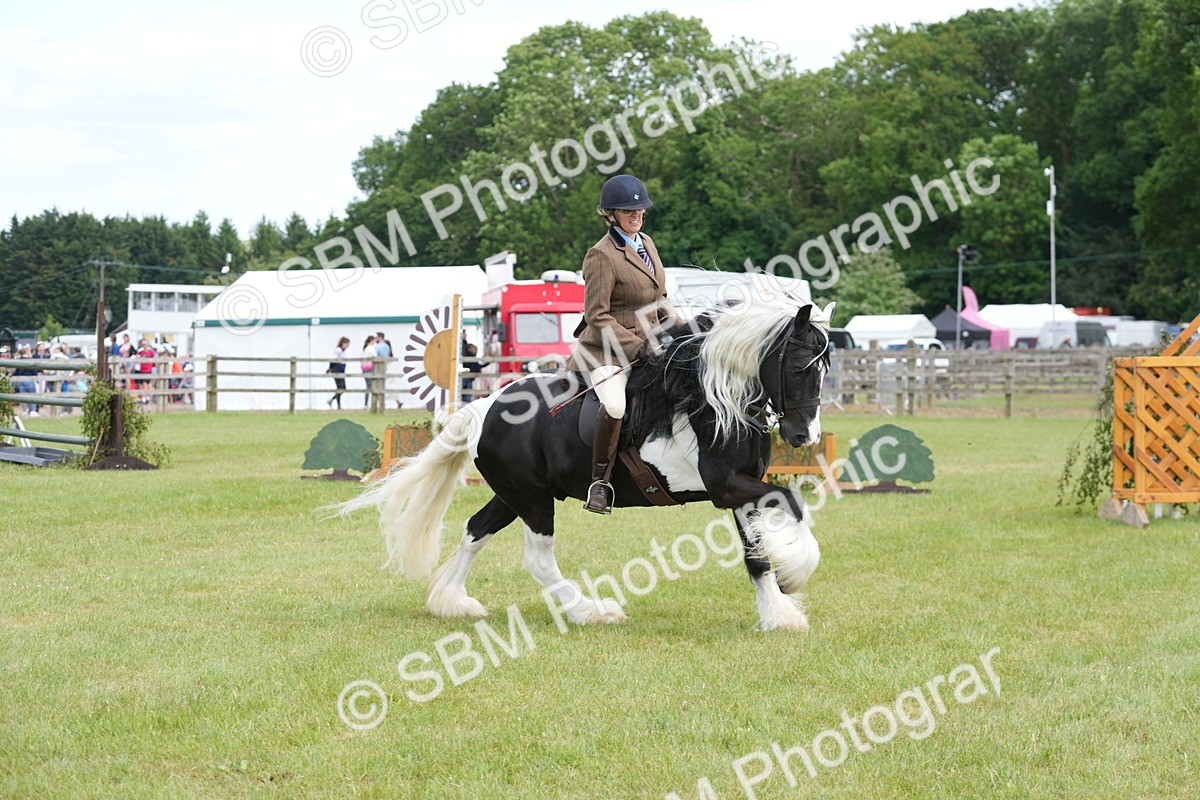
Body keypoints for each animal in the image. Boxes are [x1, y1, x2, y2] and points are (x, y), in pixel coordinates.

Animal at [334, 298, 833, 631]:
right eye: (799, 367)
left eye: (825, 369)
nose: (803, 437)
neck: (711, 398)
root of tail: (485, 408)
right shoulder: (726, 486)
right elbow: (791, 501)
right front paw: (796, 574)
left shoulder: (743, 487)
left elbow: (756, 556)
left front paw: (779, 613)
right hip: (533, 500)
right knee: (537, 559)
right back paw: (590, 611)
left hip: (515, 494)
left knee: (476, 529)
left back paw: (452, 602)